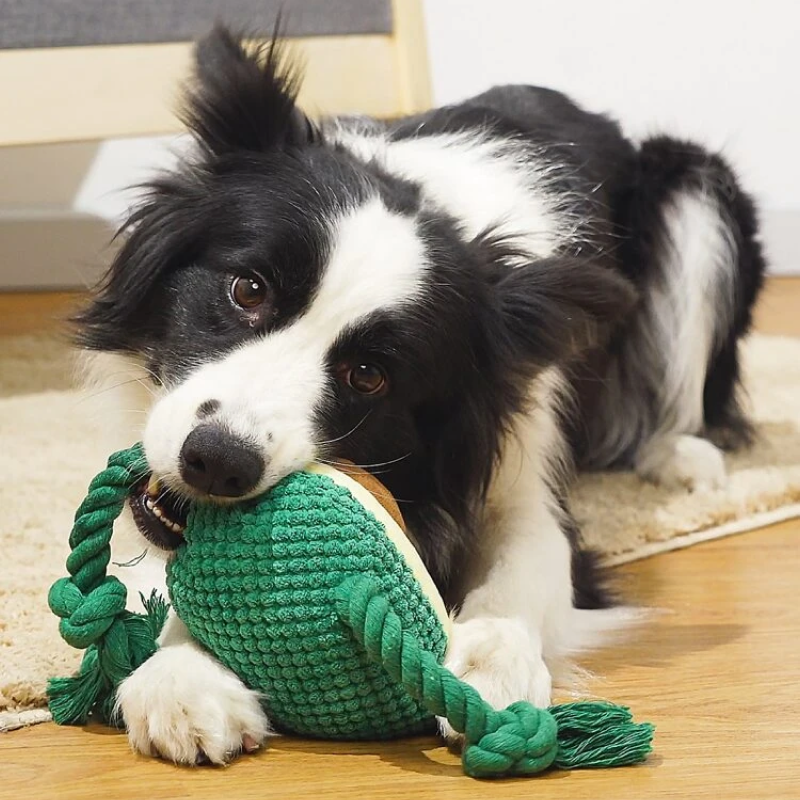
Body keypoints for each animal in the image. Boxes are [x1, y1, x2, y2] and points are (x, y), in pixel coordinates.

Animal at [75, 26, 764, 764]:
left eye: (369, 375)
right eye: (248, 290)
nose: (217, 461)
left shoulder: (524, 468)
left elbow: (533, 559)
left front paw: (491, 666)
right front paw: (182, 675)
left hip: (696, 187)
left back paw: (680, 457)